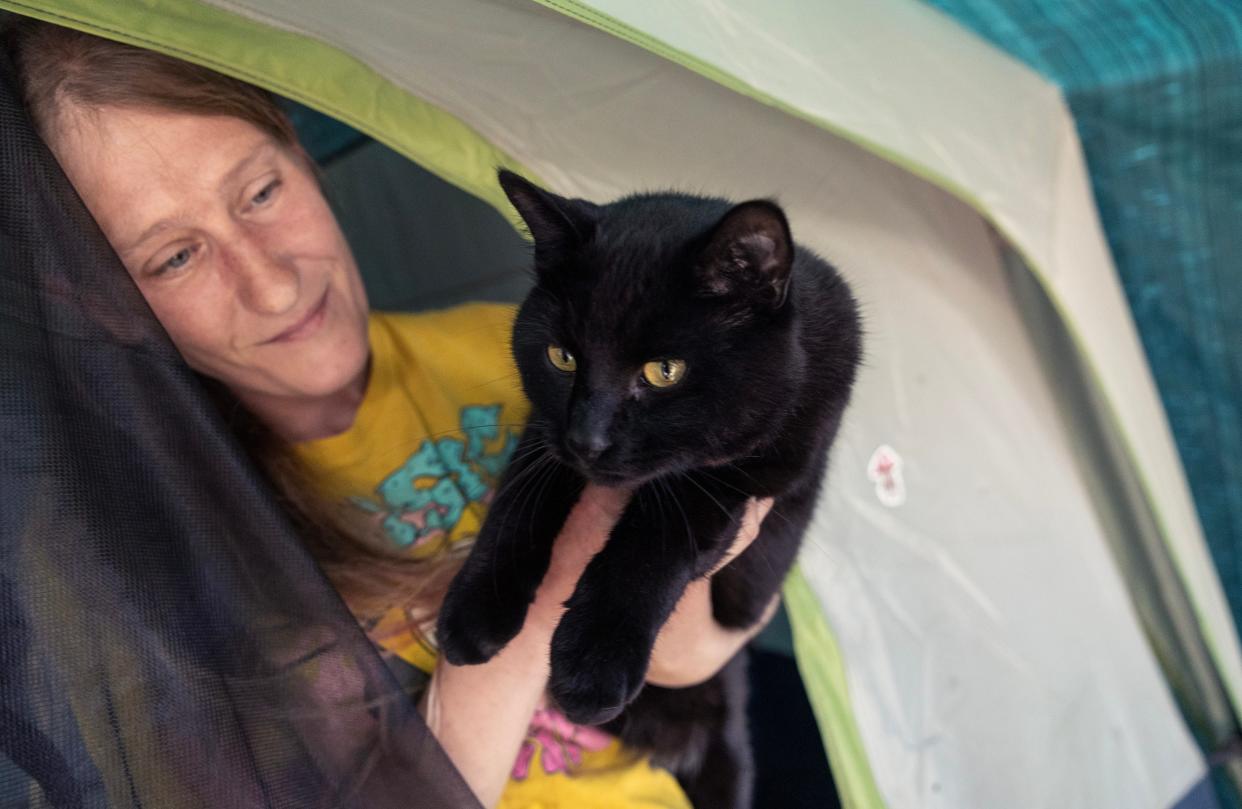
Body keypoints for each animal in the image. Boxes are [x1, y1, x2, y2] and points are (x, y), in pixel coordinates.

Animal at [439, 167, 864, 805]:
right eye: (562, 357)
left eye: (664, 371)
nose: (587, 438)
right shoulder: (545, 434)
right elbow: (518, 500)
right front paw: (474, 612)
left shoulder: (760, 470)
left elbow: (660, 532)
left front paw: (592, 661)